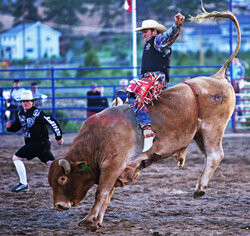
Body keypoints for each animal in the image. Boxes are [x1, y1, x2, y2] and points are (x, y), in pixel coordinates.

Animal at [48, 8, 240, 230]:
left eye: (63, 178)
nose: (59, 205)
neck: (98, 139)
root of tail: (218, 76)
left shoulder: (112, 166)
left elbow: (101, 193)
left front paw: (89, 219)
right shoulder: (117, 171)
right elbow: (107, 196)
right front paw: (97, 221)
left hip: (212, 129)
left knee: (215, 155)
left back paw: (199, 187)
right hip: (199, 134)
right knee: (210, 156)